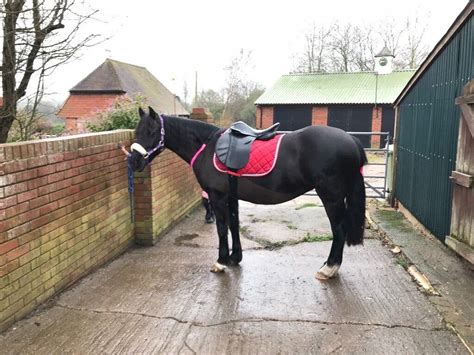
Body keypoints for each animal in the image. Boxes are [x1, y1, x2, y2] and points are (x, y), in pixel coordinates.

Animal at [127, 107, 366, 280]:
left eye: (151, 132)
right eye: (136, 132)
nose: (133, 161)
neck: (207, 146)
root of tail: (351, 139)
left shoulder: (217, 196)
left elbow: (221, 228)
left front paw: (221, 261)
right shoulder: (231, 196)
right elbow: (233, 224)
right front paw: (235, 258)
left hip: (331, 196)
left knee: (339, 229)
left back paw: (329, 268)